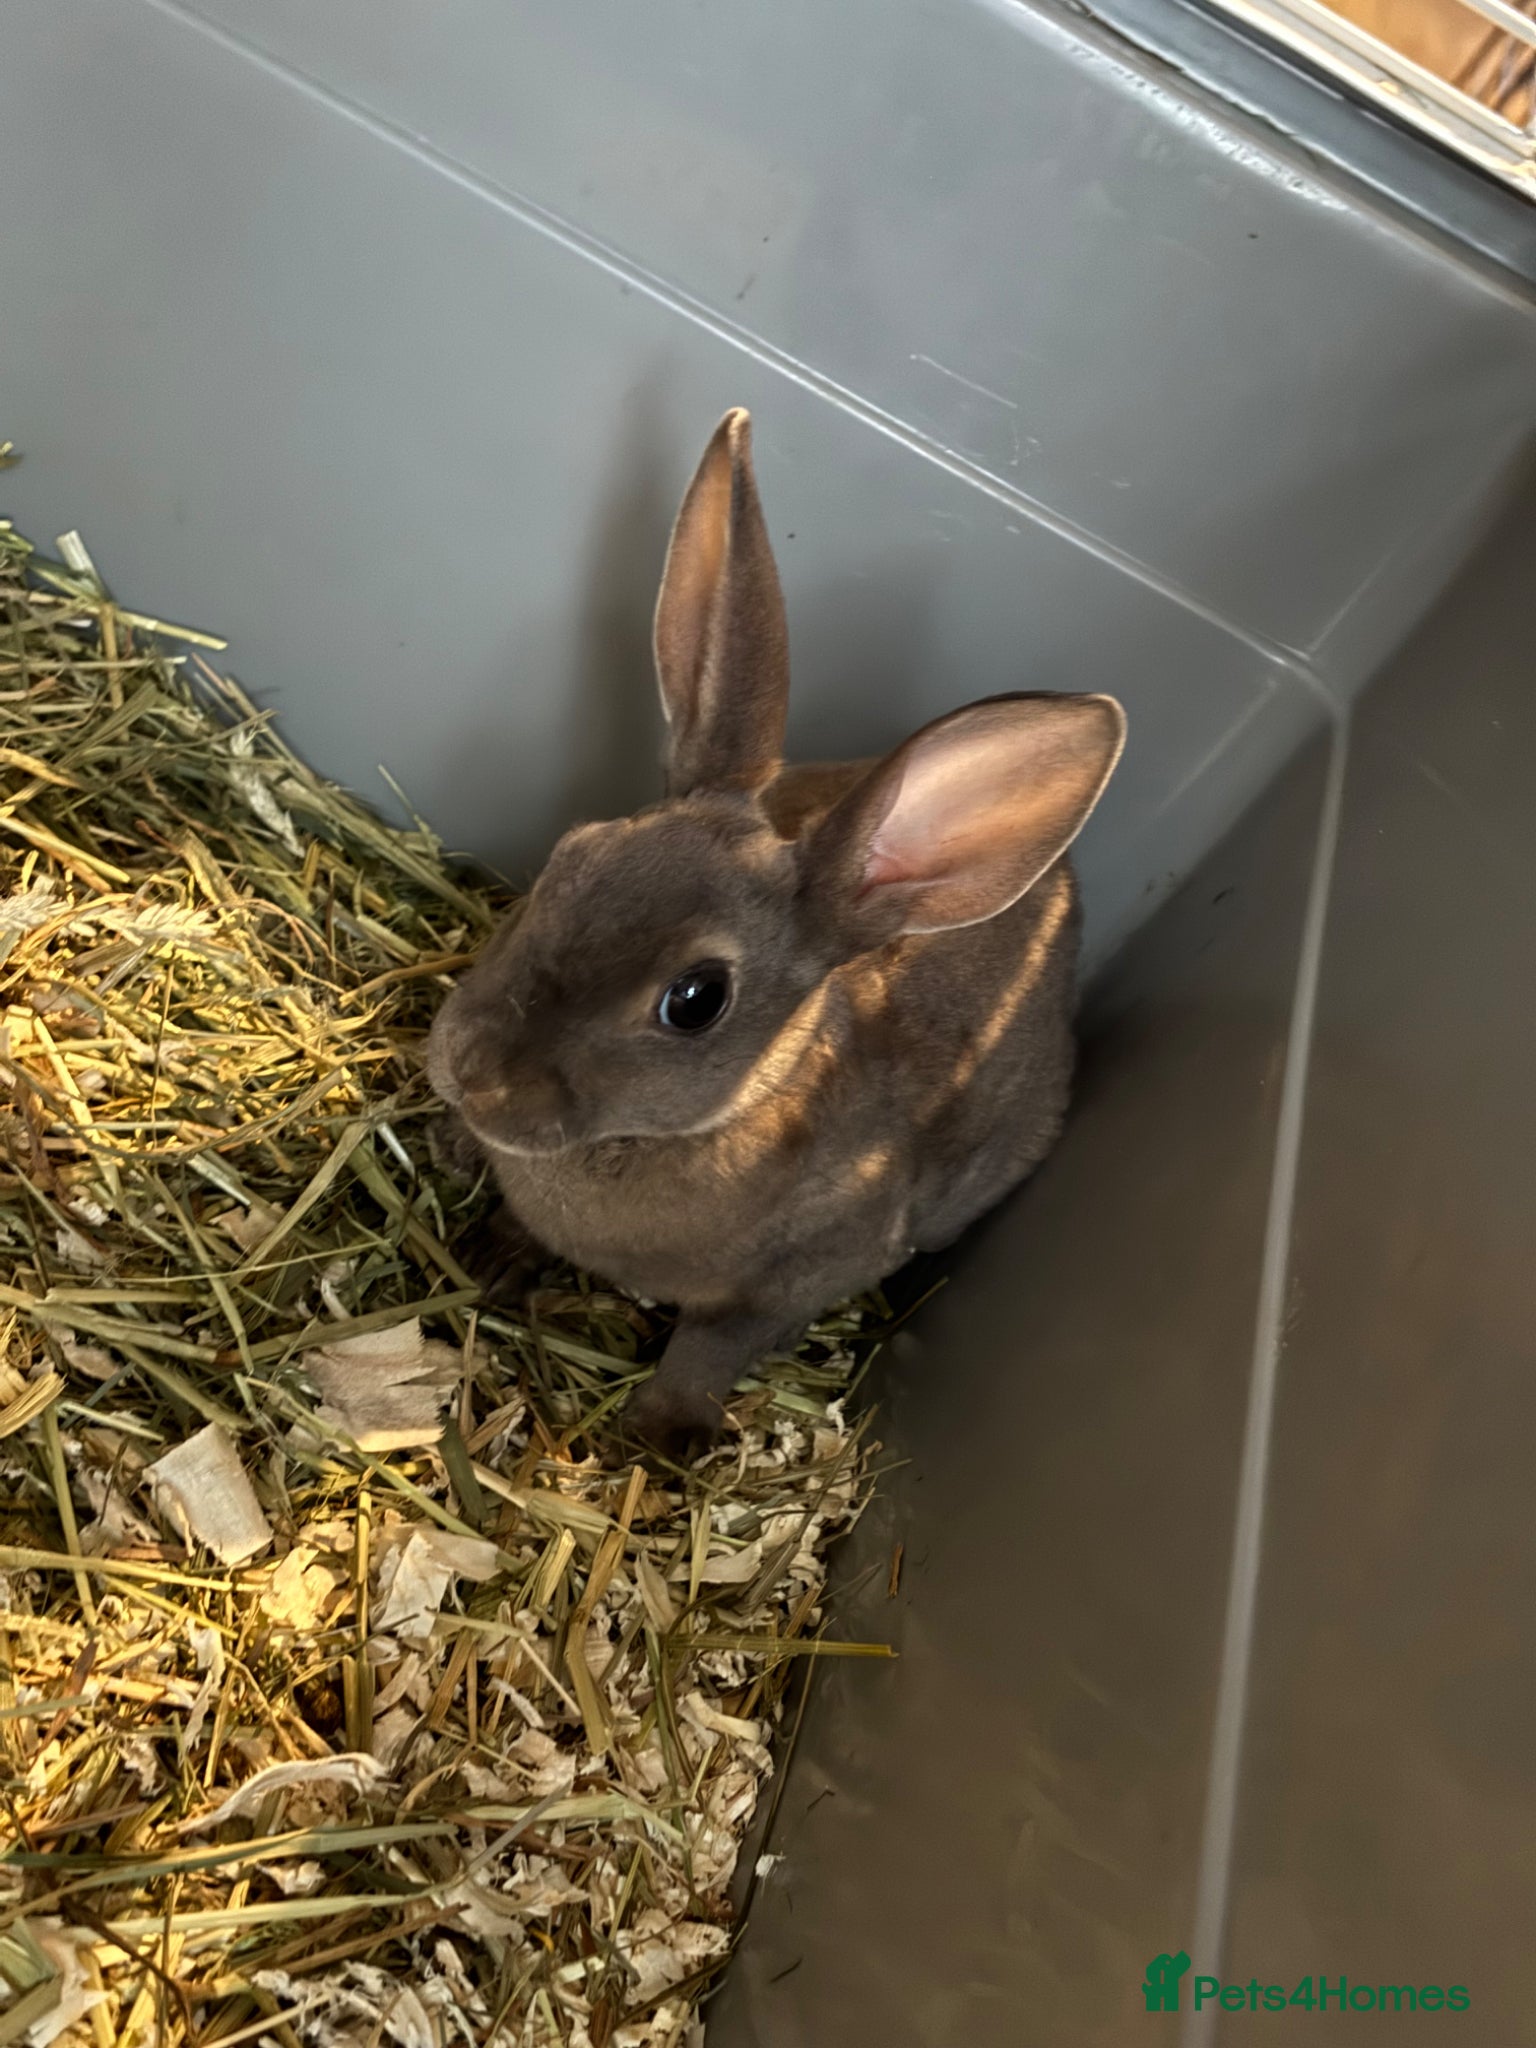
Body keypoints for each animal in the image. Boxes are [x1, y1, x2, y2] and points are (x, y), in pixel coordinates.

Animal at [427, 408, 1125, 1453]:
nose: (471, 1072)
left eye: (696, 1000)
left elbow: (709, 1351)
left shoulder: (792, 1288)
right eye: (573, 856)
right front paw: (491, 1260)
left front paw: (660, 1437)